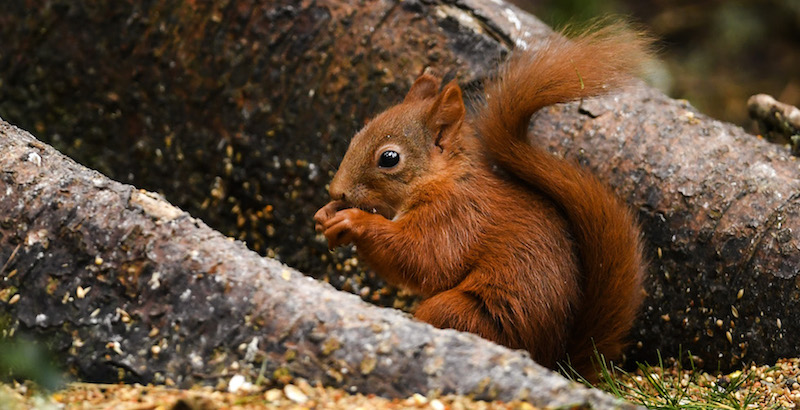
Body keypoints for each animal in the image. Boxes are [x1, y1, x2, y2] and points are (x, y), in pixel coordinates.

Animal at [312, 24, 648, 380]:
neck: (444, 179)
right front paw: (325, 214)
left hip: (468, 314)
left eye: (389, 158)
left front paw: (354, 221)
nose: (336, 191)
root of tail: (555, 361)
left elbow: (424, 259)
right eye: (356, 136)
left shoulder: (456, 217)